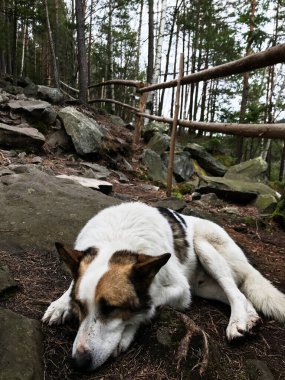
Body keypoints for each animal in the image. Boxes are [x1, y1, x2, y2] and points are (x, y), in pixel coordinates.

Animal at [42, 202, 284, 372]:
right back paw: (250, 318)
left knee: (235, 291)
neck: (117, 239)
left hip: (205, 249)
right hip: (203, 287)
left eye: (111, 309)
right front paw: (61, 305)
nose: (79, 363)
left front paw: (126, 333)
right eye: (79, 306)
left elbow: (148, 305)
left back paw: (236, 323)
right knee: (241, 294)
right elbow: (72, 286)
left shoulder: (181, 291)